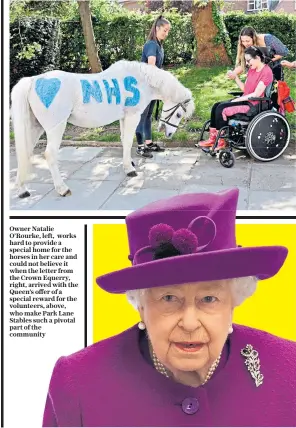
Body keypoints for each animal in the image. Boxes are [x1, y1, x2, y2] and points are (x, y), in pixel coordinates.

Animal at [10, 59, 194, 197]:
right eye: (179, 114)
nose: (168, 133)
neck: (142, 81)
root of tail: (33, 81)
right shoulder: (132, 117)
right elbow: (128, 141)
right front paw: (130, 169)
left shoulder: (123, 118)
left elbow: (123, 140)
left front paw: (129, 163)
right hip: (56, 127)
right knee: (49, 154)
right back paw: (62, 188)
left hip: (35, 127)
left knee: (25, 152)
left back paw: (22, 189)